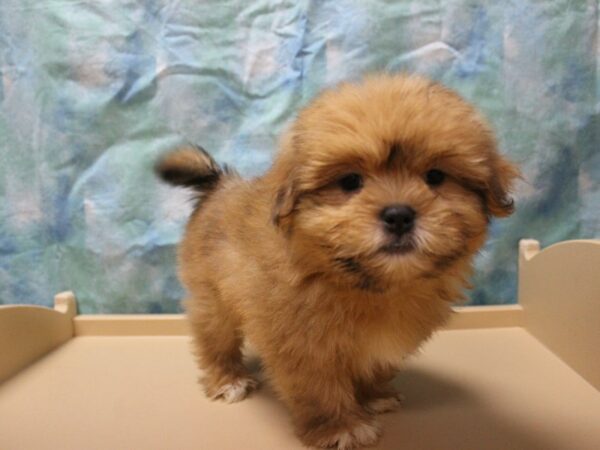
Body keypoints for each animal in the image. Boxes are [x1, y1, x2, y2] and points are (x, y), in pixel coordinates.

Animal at [157, 74, 516, 450]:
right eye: (350, 181)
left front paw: (374, 397)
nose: (399, 215)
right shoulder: (304, 345)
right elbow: (319, 388)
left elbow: (374, 365)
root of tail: (219, 185)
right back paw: (228, 380)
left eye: (435, 177)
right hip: (212, 297)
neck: (369, 285)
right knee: (215, 339)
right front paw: (340, 427)